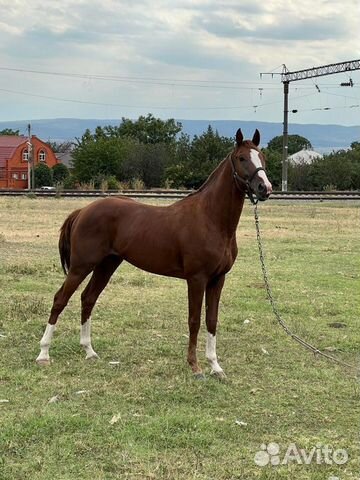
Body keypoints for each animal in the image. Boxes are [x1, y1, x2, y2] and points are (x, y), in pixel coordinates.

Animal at [37, 130, 272, 378]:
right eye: (241, 158)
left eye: (262, 157)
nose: (264, 188)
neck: (210, 219)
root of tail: (83, 211)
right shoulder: (196, 279)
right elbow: (194, 320)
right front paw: (195, 366)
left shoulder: (218, 279)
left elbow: (212, 320)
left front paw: (215, 366)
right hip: (81, 266)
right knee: (60, 299)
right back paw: (44, 354)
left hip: (106, 265)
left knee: (88, 299)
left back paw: (89, 351)